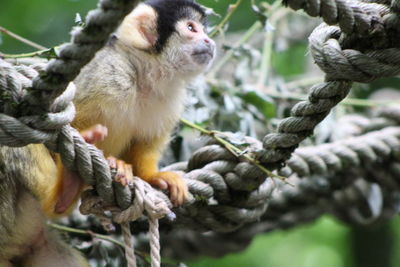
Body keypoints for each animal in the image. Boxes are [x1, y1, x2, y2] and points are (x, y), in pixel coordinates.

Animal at [0, 0, 214, 266]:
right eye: (191, 28)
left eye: (203, 30)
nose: (209, 41)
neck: (143, 73)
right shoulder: (107, 74)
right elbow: (60, 121)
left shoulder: (169, 99)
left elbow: (145, 144)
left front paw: (152, 176)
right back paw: (62, 194)